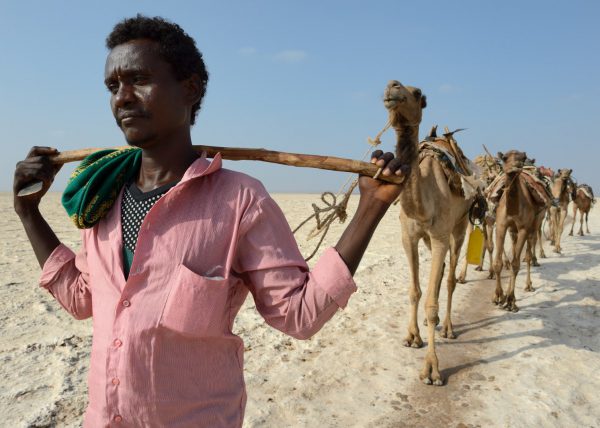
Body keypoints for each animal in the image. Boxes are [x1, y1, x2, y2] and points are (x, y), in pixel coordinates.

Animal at [384, 79, 478, 384]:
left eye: (417, 94)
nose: (393, 86)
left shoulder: (439, 236)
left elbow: (432, 303)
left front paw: (432, 369)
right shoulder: (409, 237)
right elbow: (415, 291)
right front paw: (412, 336)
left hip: (459, 227)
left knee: (449, 278)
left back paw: (448, 327)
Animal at [490, 150, 548, 310]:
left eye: (522, 158)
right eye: (504, 158)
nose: (516, 166)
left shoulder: (523, 228)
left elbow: (516, 264)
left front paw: (511, 301)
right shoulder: (501, 225)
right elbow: (498, 263)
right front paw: (498, 296)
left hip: (534, 224)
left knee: (527, 254)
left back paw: (528, 285)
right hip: (513, 230)